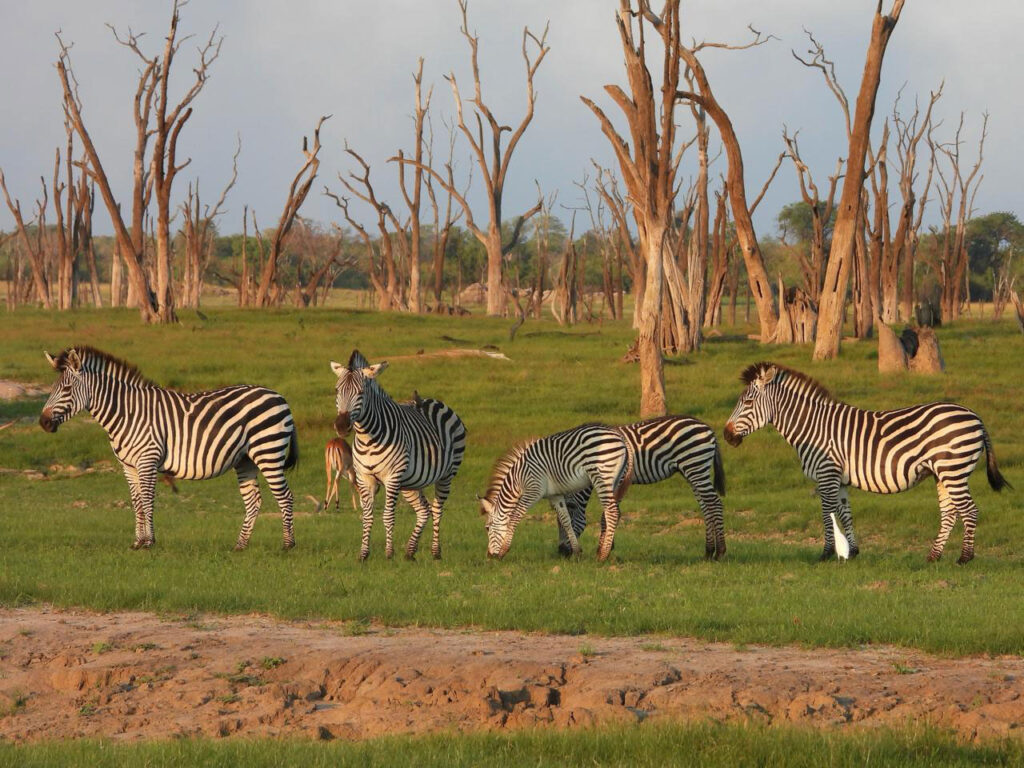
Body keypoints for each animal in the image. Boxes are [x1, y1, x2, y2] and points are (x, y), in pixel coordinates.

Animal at [39, 346, 298, 551]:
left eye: (66, 390)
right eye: (52, 389)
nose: (43, 423)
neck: (127, 413)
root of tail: (279, 396)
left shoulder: (148, 459)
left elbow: (148, 499)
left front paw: (149, 542)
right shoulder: (129, 466)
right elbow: (136, 502)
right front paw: (137, 541)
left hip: (268, 452)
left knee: (285, 496)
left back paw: (287, 544)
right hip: (246, 459)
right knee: (253, 500)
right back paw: (240, 545)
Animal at [331, 350, 466, 561]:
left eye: (361, 393)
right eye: (337, 391)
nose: (341, 426)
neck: (368, 437)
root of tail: (433, 400)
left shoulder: (392, 477)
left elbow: (388, 516)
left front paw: (389, 553)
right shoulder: (364, 477)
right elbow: (367, 516)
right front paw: (363, 554)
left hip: (446, 475)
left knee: (437, 510)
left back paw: (435, 552)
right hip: (411, 482)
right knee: (424, 510)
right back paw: (410, 552)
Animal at [480, 423, 632, 561]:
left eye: (487, 528)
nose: (489, 556)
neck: (518, 478)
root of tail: (620, 437)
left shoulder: (533, 491)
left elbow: (515, 517)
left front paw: (503, 550)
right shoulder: (555, 495)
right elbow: (566, 521)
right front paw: (577, 552)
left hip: (601, 477)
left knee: (612, 512)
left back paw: (603, 555)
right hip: (616, 481)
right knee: (613, 512)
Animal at [558, 416, 727, 560]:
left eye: (565, 523)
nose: (561, 553)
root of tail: (707, 427)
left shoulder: (618, 480)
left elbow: (607, 515)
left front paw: (602, 550)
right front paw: (608, 546)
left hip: (695, 466)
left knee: (715, 503)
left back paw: (720, 552)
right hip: (693, 471)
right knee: (706, 506)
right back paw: (708, 551)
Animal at [723, 361, 1010, 563]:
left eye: (747, 402)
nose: (726, 435)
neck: (812, 427)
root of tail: (975, 416)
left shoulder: (827, 473)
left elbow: (827, 513)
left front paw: (826, 553)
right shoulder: (838, 478)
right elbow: (844, 512)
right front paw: (853, 551)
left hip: (953, 471)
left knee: (969, 511)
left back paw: (964, 558)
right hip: (944, 474)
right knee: (950, 513)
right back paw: (933, 556)